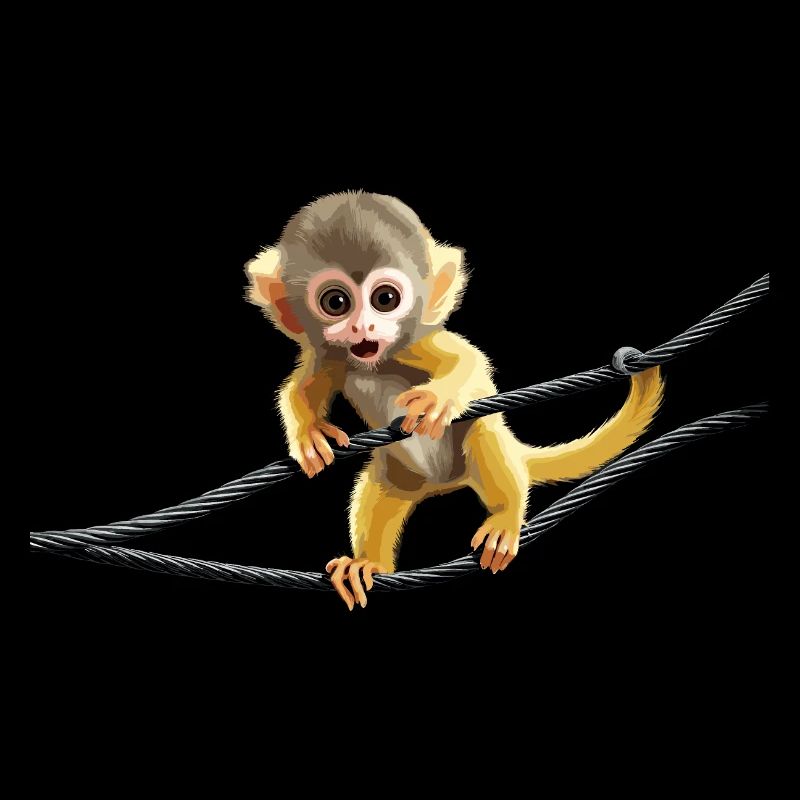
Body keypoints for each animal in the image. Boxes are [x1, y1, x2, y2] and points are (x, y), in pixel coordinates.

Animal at [245, 191, 664, 610]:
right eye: (336, 302)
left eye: (385, 299)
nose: (363, 327)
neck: (372, 362)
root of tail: (443, 485)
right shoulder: (330, 354)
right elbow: (302, 387)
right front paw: (310, 433)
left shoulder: (414, 342)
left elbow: (469, 363)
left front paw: (436, 400)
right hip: (399, 477)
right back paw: (367, 564)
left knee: (481, 428)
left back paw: (505, 516)